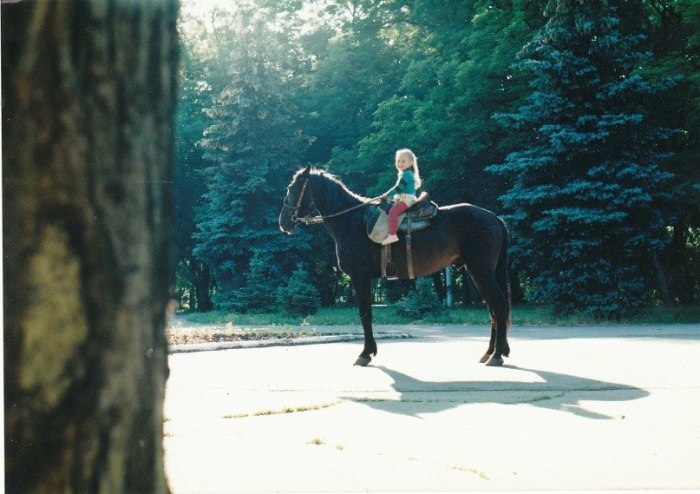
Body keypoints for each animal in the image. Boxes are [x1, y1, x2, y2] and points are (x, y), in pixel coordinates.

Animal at [280, 166, 516, 366]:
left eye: (292, 188)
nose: (284, 222)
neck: (351, 221)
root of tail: (494, 218)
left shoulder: (360, 277)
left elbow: (365, 314)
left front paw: (365, 353)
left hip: (481, 272)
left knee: (499, 306)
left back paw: (497, 354)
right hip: (479, 273)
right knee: (494, 309)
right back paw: (490, 352)